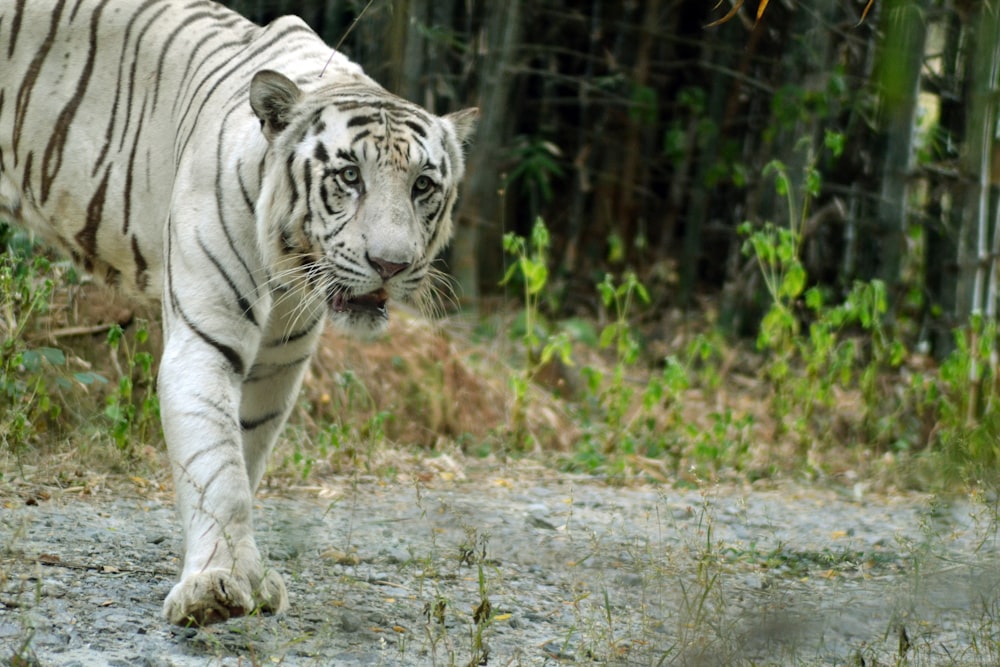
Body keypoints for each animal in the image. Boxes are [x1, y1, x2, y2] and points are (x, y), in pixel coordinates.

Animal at [0, 0, 476, 628]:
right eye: (350, 176)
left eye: (423, 185)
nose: (391, 265)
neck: (289, 268)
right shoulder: (206, 341)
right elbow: (218, 469)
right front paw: (215, 585)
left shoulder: (278, 363)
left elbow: (243, 458)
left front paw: (244, 573)